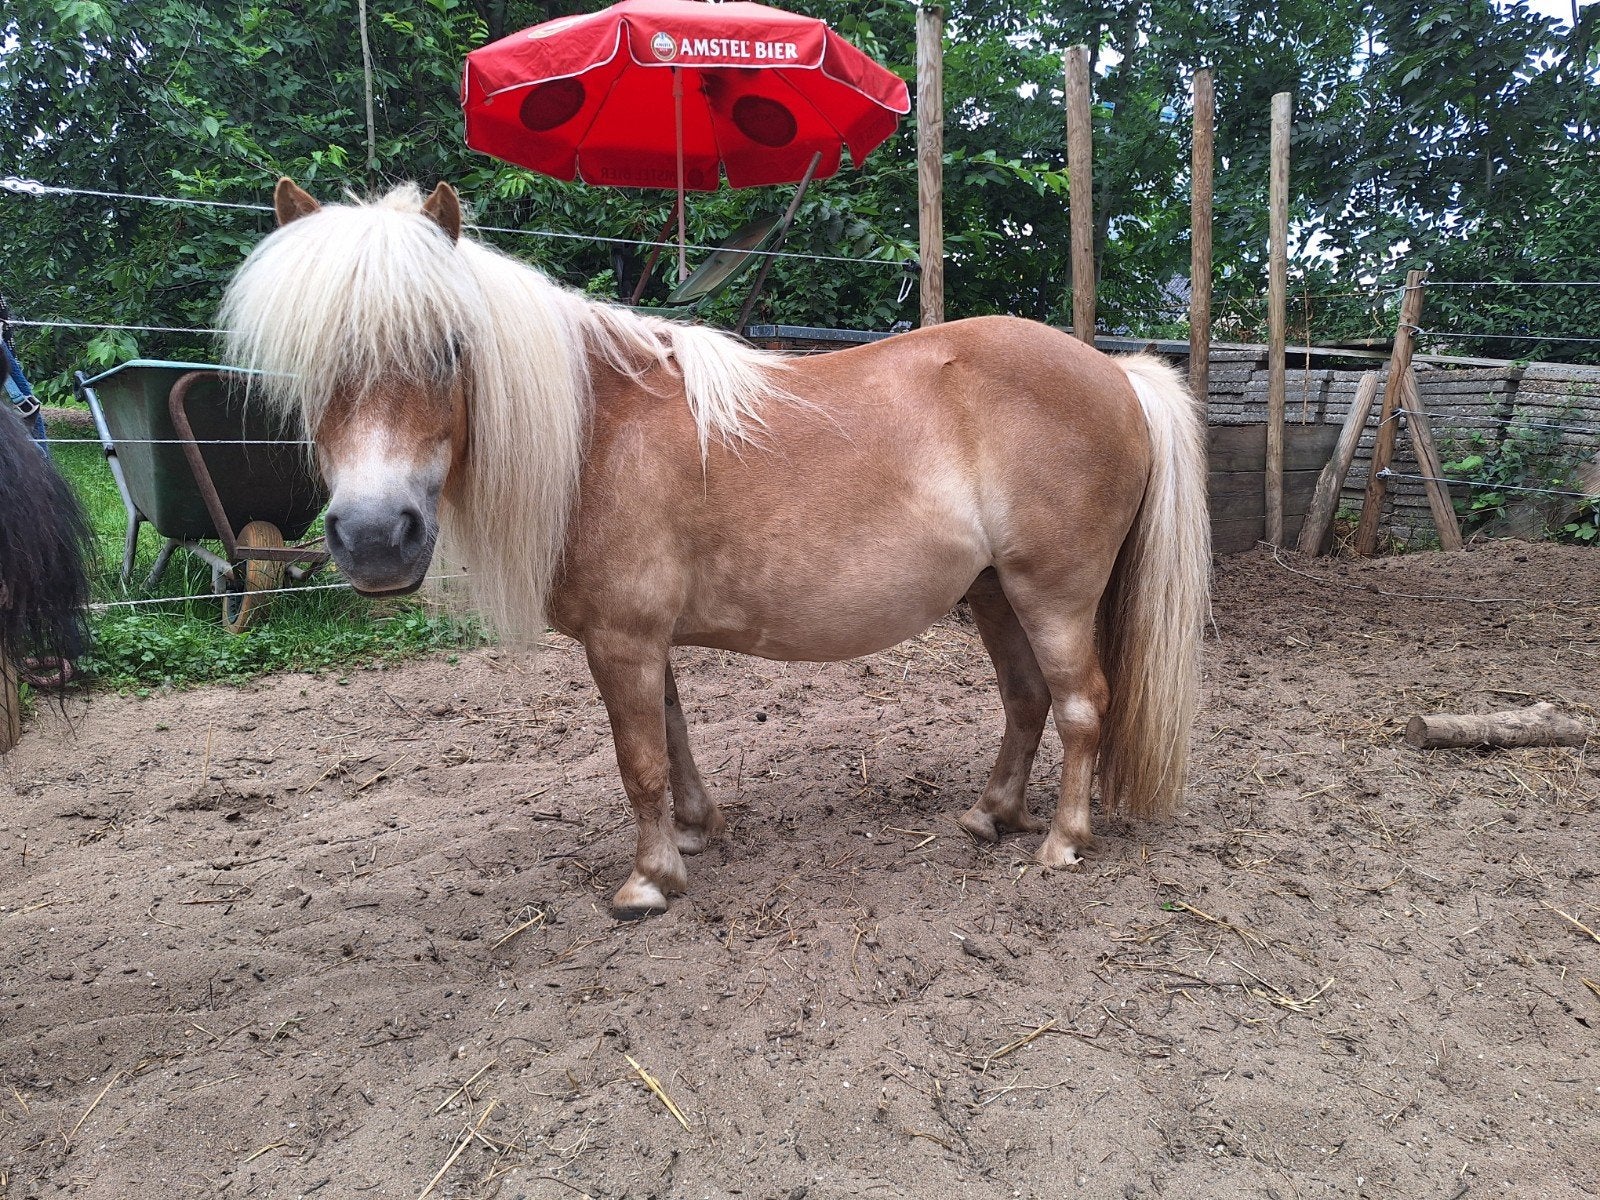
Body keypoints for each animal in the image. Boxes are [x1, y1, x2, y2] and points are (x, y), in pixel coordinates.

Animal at [220, 179, 1210, 916]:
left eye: (450, 346)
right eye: (309, 363)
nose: (374, 538)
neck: (596, 433)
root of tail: (1114, 371)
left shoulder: (620, 640)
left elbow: (639, 759)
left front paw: (648, 882)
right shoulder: (640, 641)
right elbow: (672, 733)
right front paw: (695, 832)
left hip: (1053, 594)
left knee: (1080, 704)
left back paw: (1062, 842)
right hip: (996, 592)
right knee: (1026, 698)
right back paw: (991, 816)